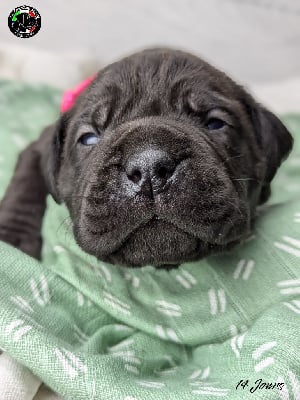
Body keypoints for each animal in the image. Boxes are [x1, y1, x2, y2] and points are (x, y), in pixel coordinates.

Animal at [0, 48, 292, 268]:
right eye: (89, 138)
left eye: (215, 123)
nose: (149, 166)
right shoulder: (37, 149)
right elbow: (23, 190)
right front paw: (12, 241)